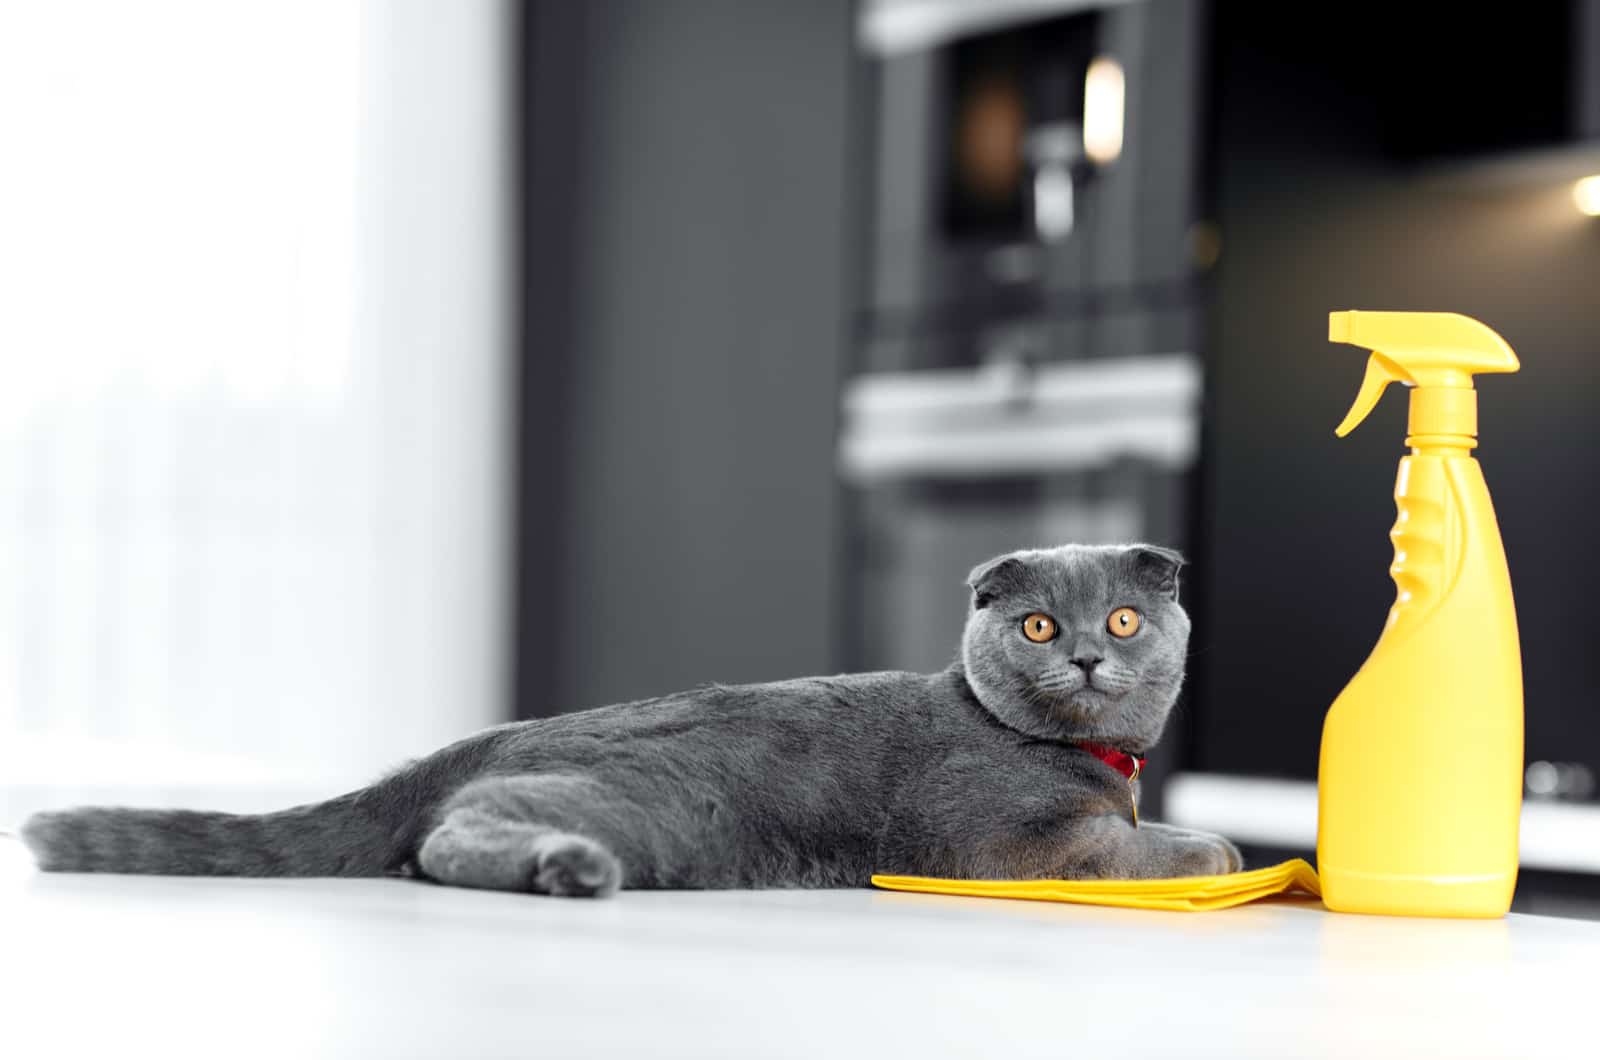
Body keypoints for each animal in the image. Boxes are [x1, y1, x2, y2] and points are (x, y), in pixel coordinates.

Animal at [25, 544, 1241, 903]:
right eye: (1037, 624)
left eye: (1123, 617)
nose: (1086, 653)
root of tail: (484, 736)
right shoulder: (1007, 841)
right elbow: (1143, 846)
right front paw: (1221, 848)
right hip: (654, 806)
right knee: (443, 840)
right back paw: (567, 868)